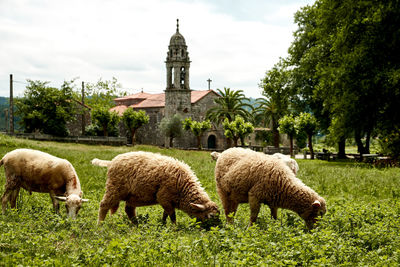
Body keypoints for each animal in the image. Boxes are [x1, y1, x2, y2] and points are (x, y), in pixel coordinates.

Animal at [92, 152, 220, 225]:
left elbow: (165, 214)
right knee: (104, 205)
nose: (218, 229)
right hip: (114, 189)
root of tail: (111, 162)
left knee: (129, 210)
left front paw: (163, 225)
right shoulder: (164, 197)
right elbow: (172, 215)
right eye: (211, 216)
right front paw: (174, 227)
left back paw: (136, 225)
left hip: (131, 195)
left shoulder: (167, 200)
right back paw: (100, 225)